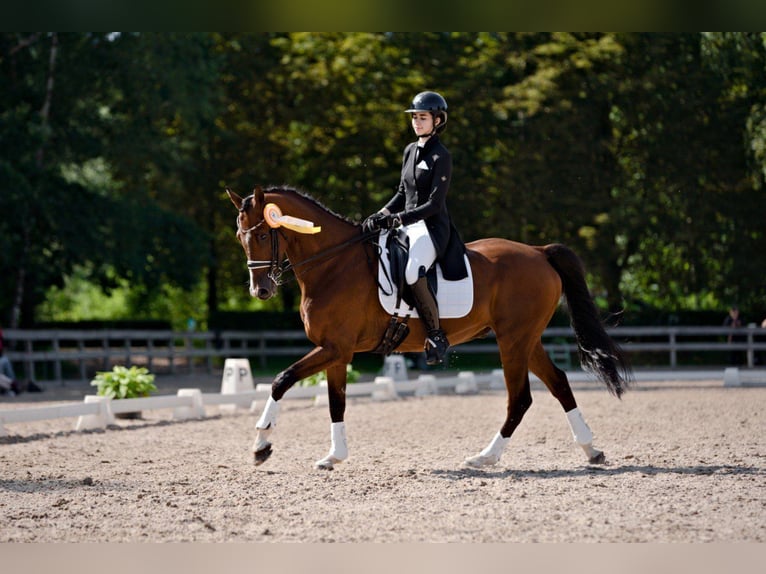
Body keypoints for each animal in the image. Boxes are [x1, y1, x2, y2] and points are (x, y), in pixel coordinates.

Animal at [227, 185, 632, 470]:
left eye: (262, 235)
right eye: (239, 237)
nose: (261, 291)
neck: (333, 264)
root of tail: (538, 251)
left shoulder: (334, 348)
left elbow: (282, 380)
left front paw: (261, 445)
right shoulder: (336, 352)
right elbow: (335, 402)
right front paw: (334, 456)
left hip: (513, 340)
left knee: (520, 398)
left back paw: (485, 458)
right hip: (526, 339)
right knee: (559, 383)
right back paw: (591, 450)